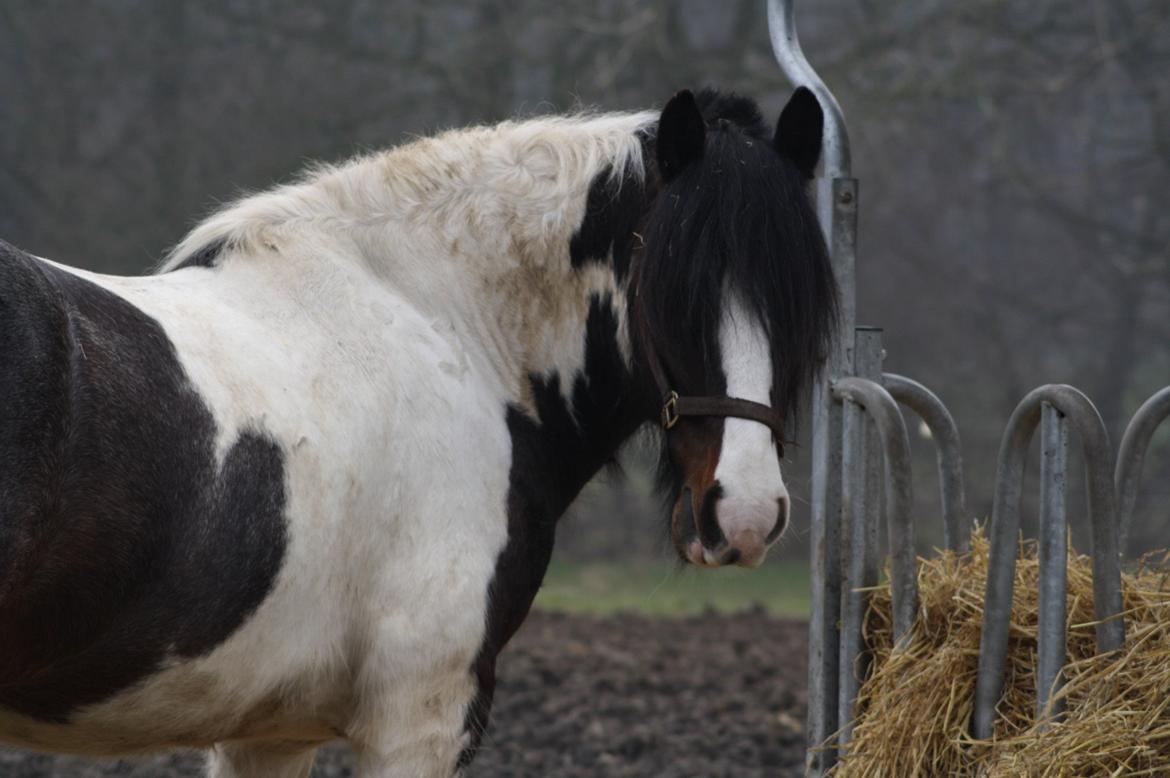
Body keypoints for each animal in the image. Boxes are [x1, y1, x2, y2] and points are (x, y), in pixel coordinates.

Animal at [2, 86, 842, 776]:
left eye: (799, 299)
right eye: (671, 290)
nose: (745, 513)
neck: (446, 329)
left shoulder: (268, 732)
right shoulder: (419, 717)